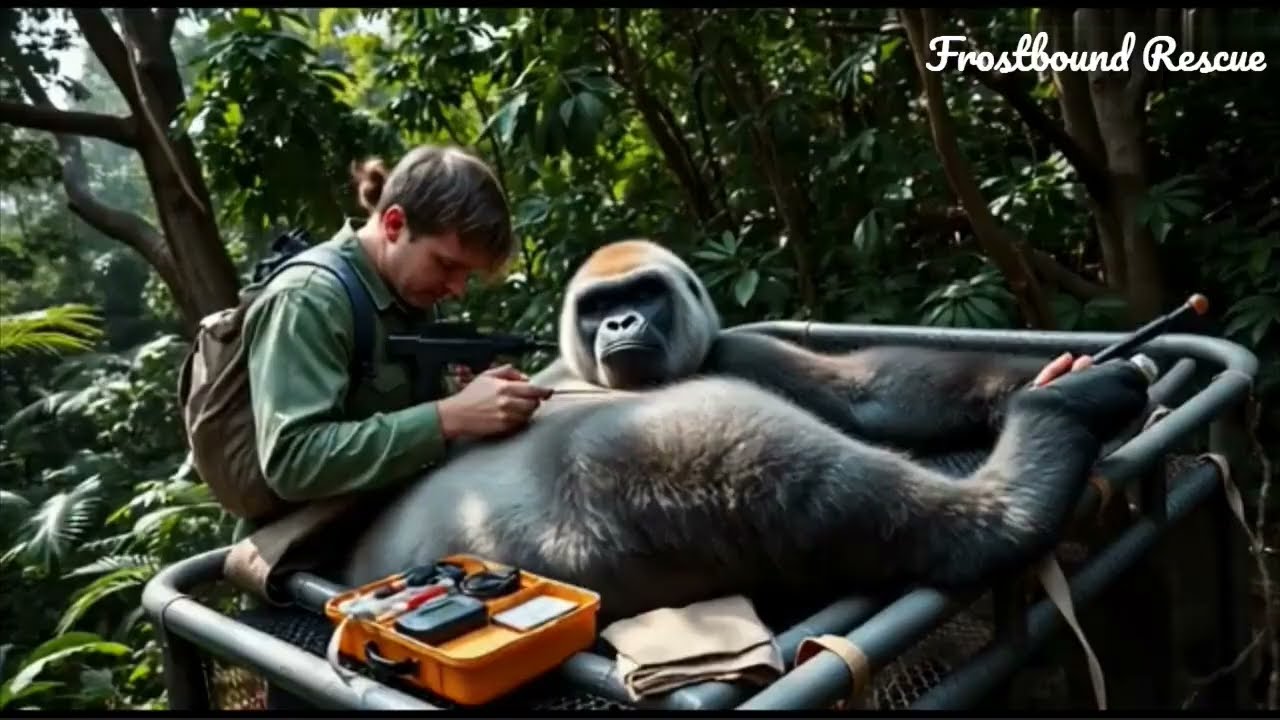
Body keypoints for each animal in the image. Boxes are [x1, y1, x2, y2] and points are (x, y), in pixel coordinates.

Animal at [338, 239, 1150, 623]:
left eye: (644, 296)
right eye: (598, 307)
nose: (621, 323)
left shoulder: (735, 347)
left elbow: (868, 399)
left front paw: (1023, 376)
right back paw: (1046, 436)